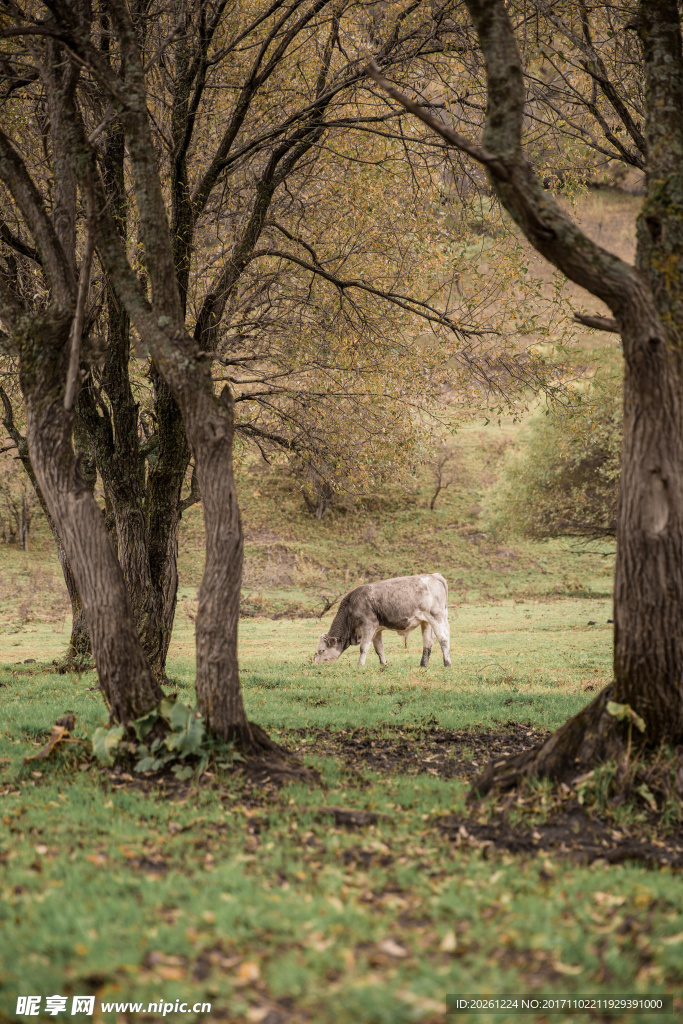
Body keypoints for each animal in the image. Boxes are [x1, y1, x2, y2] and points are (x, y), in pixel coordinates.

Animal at [317, 573, 454, 667]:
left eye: (321, 650)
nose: (315, 663)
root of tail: (434, 575)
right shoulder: (377, 630)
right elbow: (379, 648)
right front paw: (384, 663)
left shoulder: (368, 625)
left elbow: (364, 647)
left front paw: (360, 664)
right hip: (426, 621)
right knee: (428, 642)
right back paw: (423, 664)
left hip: (436, 617)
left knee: (443, 638)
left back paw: (447, 663)